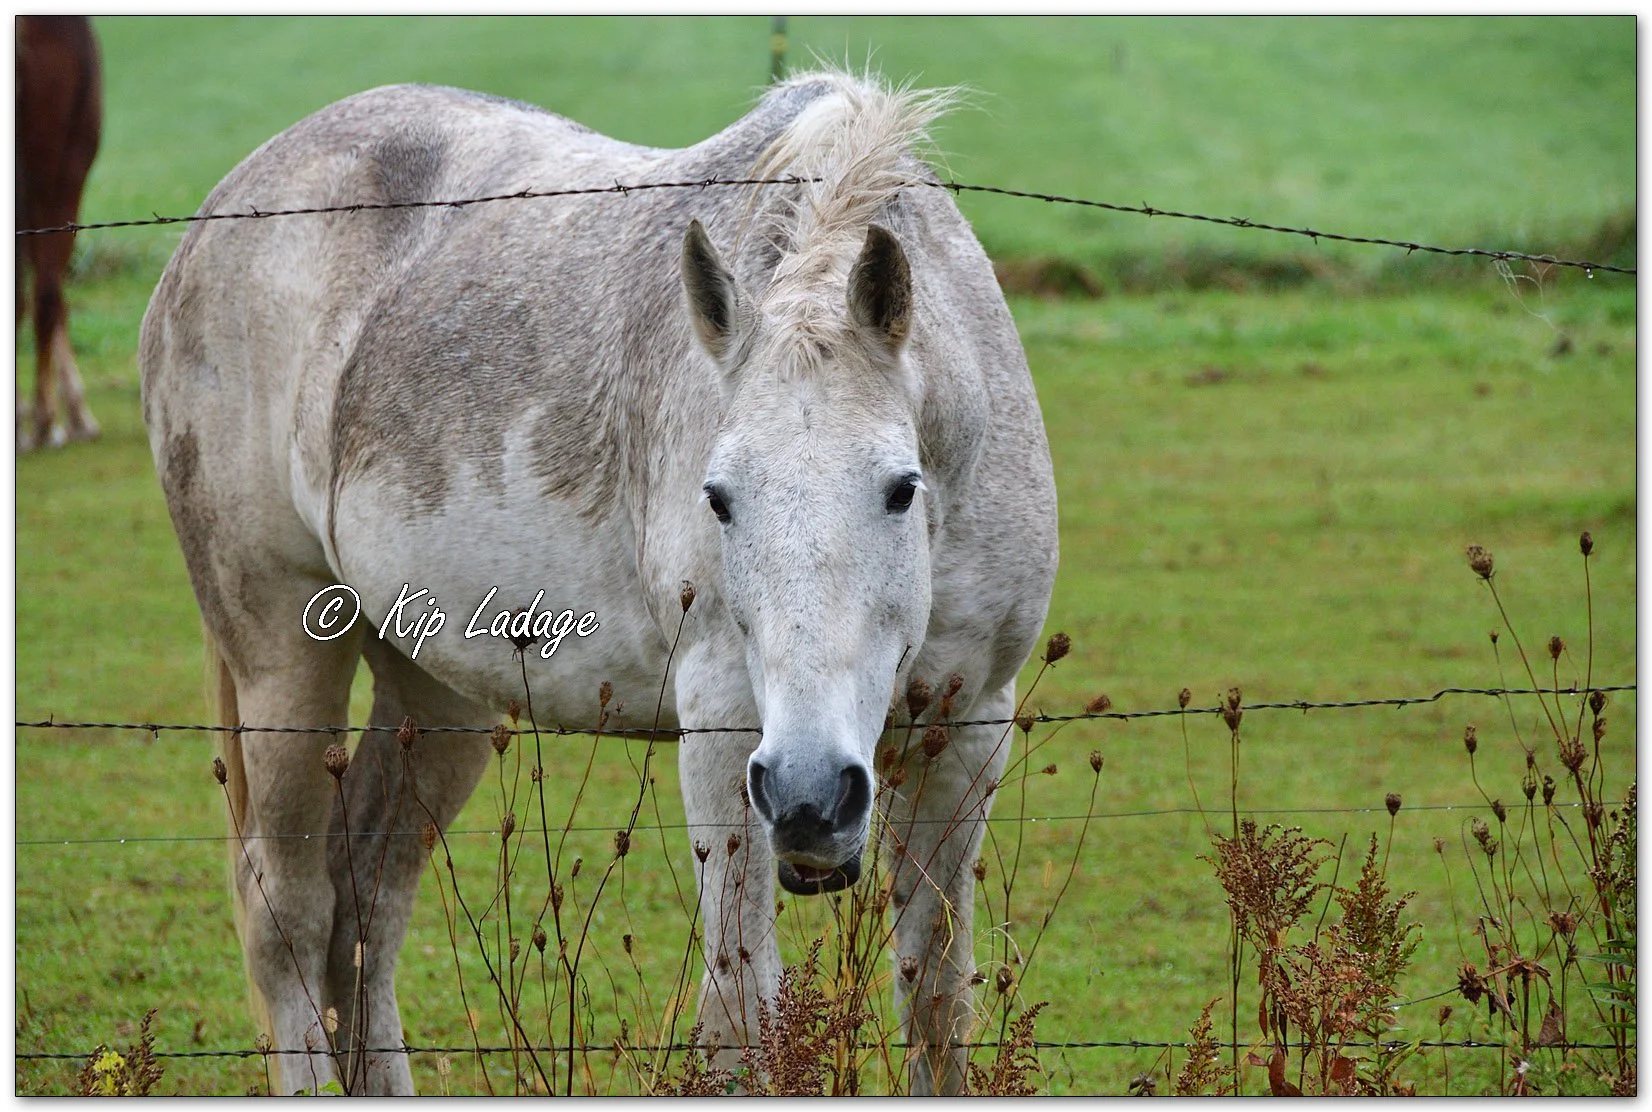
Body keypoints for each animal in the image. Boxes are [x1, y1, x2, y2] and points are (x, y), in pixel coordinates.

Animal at [140, 70, 1058, 1095]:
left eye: (902, 488)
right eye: (718, 497)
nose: (811, 795)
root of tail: (220, 214)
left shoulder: (967, 728)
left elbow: (937, 1006)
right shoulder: (723, 730)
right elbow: (740, 1020)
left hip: (439, 694)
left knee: (365, 902)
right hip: (282, 659)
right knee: (288, 915)